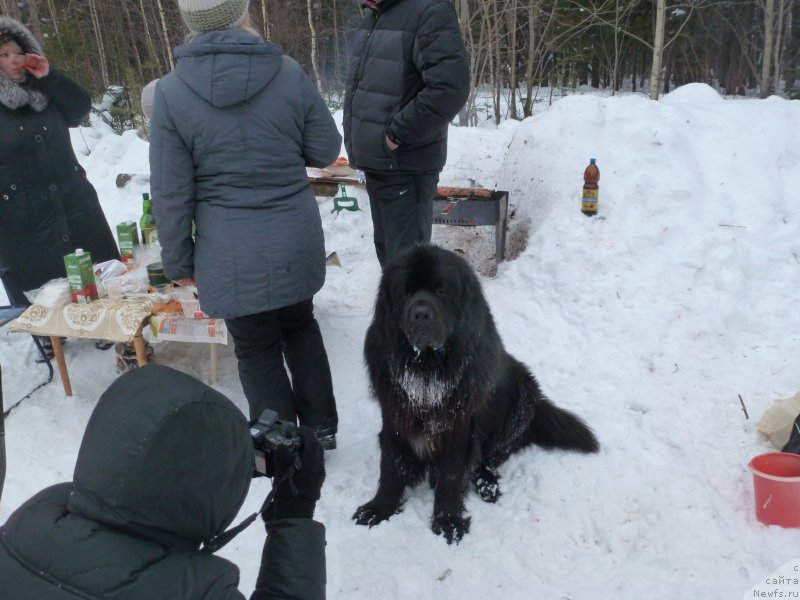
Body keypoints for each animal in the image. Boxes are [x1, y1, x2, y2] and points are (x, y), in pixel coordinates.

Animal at [354, 244, 596, 544]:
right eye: (405, 292)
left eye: (441, 291)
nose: (420, 313)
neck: (427, 368)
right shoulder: (395, 415)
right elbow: (391, 466)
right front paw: (379, 508)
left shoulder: (459, 426)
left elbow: (450, 475)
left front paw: (448, 521)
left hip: (523, 401)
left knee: (490, 457)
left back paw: (486, 485)